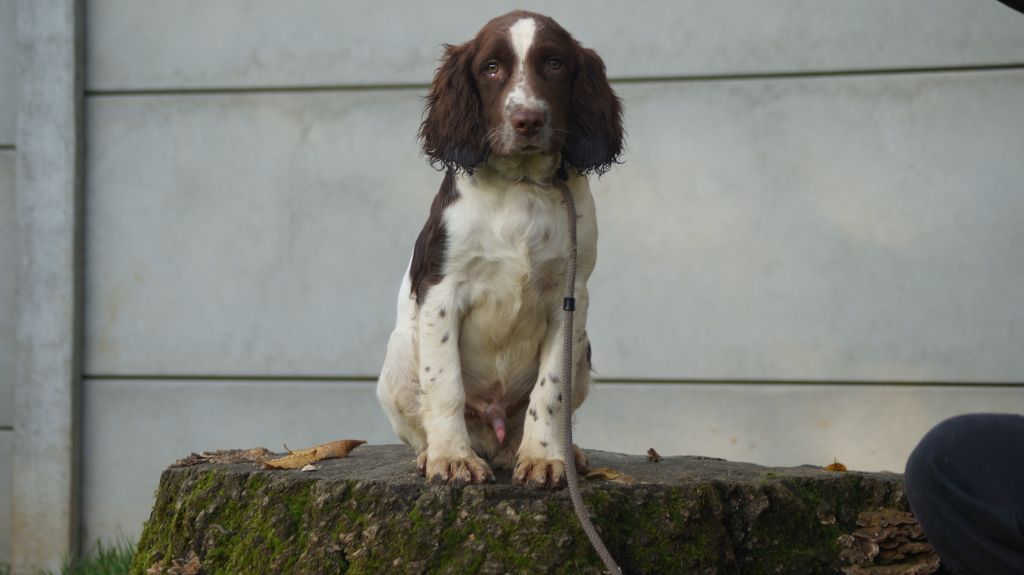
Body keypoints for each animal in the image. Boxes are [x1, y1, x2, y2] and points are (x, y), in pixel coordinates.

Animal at [374, 11, 618, 484]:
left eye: (554, 64)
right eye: (491, 68)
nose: (527, 120)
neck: (520, 185)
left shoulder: (571, 295)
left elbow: (550, 389)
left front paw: (544, 458)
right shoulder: (441, 290)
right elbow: (444, 381)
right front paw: (452, 458)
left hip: (583, 352)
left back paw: (557, 452)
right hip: (397, 357)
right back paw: (434, 452)